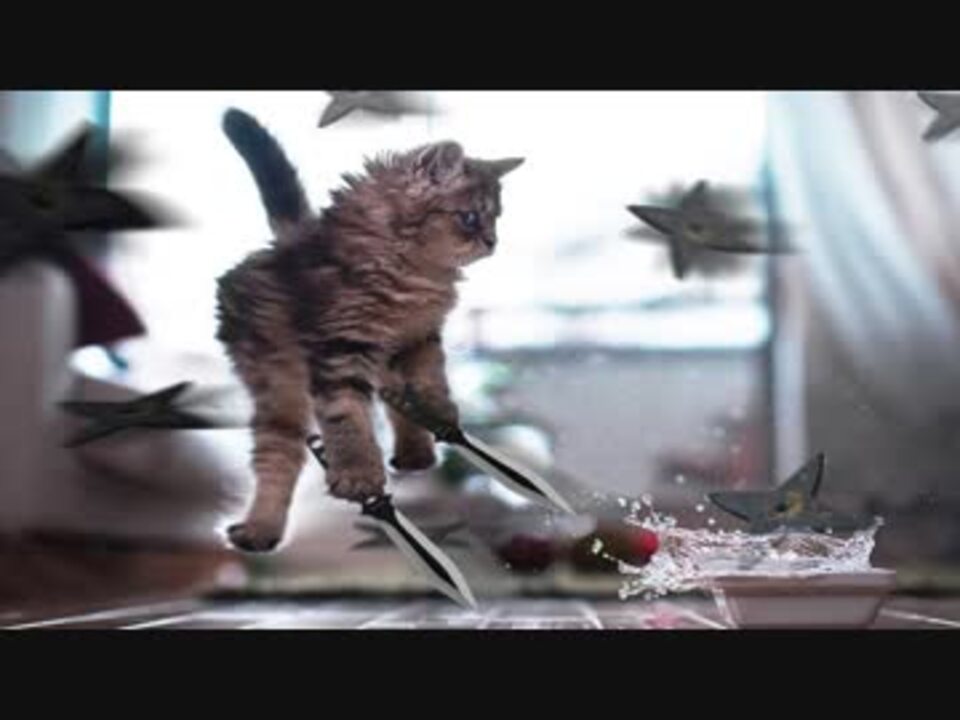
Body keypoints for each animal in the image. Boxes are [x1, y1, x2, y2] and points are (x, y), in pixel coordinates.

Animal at [216, 108, 523, 552]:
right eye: (469, 217)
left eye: (495, 218)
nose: (492, 241)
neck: (410, 268)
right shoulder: (341, 347)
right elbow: (347, 416)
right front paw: (358, 474)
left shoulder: (420, 336)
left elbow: (430, 382)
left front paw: (440, 417)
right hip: (276, 384)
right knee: (278, 455)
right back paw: (261, 529)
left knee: (392, 401)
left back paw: (414, 455)